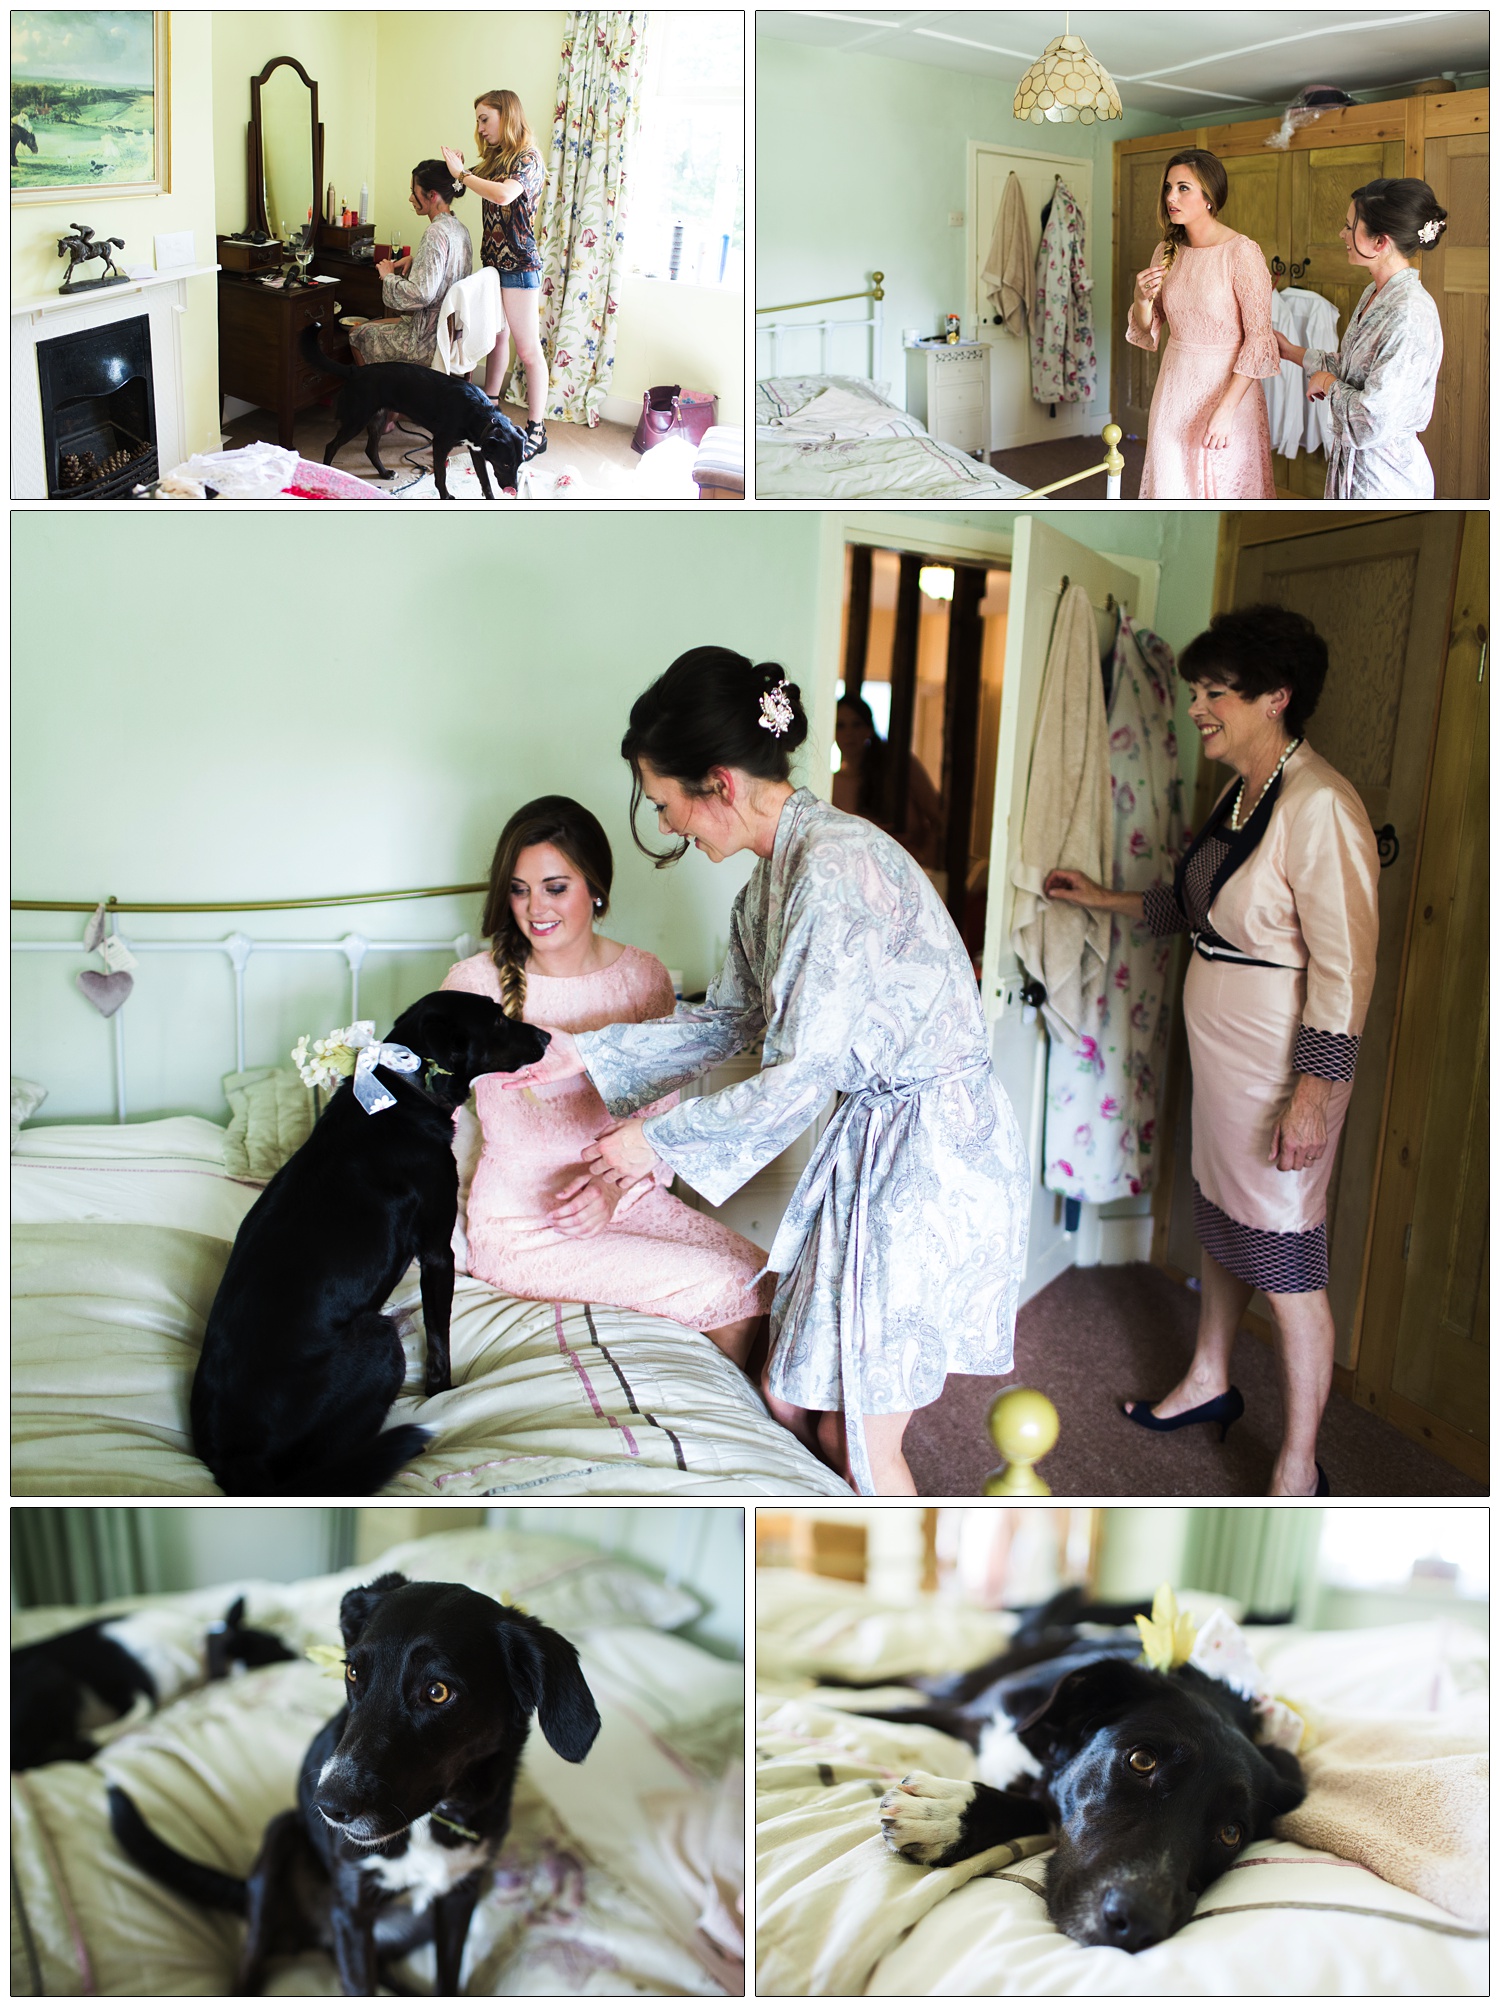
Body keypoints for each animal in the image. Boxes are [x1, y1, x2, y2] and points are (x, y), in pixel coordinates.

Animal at [12, 1589, 297, 1766]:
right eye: (276, 1647)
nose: (300, 1653)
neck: (198, 1650)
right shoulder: (131, 1688)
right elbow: (143, 1707)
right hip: (47, 1671)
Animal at [108, 1581, 602, 1990]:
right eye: (352, 1673)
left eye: (438, 1692)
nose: (328, 1806)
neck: (431, 1822)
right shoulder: (352, 1911)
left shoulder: (459, 1898)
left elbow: (448, 1979)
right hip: (277, 1844)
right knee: (252, 1958)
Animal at [190, 987, 550, 1493]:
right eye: (498, 1021)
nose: (548, 1036)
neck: (403, 1087)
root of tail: (233, 1458)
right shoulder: (437, 1253)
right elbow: (439, 1340)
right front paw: (443, 1394)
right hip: (380, 1340)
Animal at [299, 321, 526, 497]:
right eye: (506, 464)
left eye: (520, 464)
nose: (513, 489)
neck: (480, 414)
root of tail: (355, 370)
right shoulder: (440, 444)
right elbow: (441, 477)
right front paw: (446, 497)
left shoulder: (476, 450)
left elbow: (485, 482)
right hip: (356, 419)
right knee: (332, 446)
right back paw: (327, 471)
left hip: (378, 419)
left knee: (370, 449)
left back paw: (384, 473)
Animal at [875, 1589, 1309, 1950]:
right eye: (1141, 1761)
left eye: (1231, 1833)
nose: (1137, 1923)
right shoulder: (960, 1714)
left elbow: (1034, 1808)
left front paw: (946, 1815)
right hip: (963, 1686)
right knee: (914, 1681)